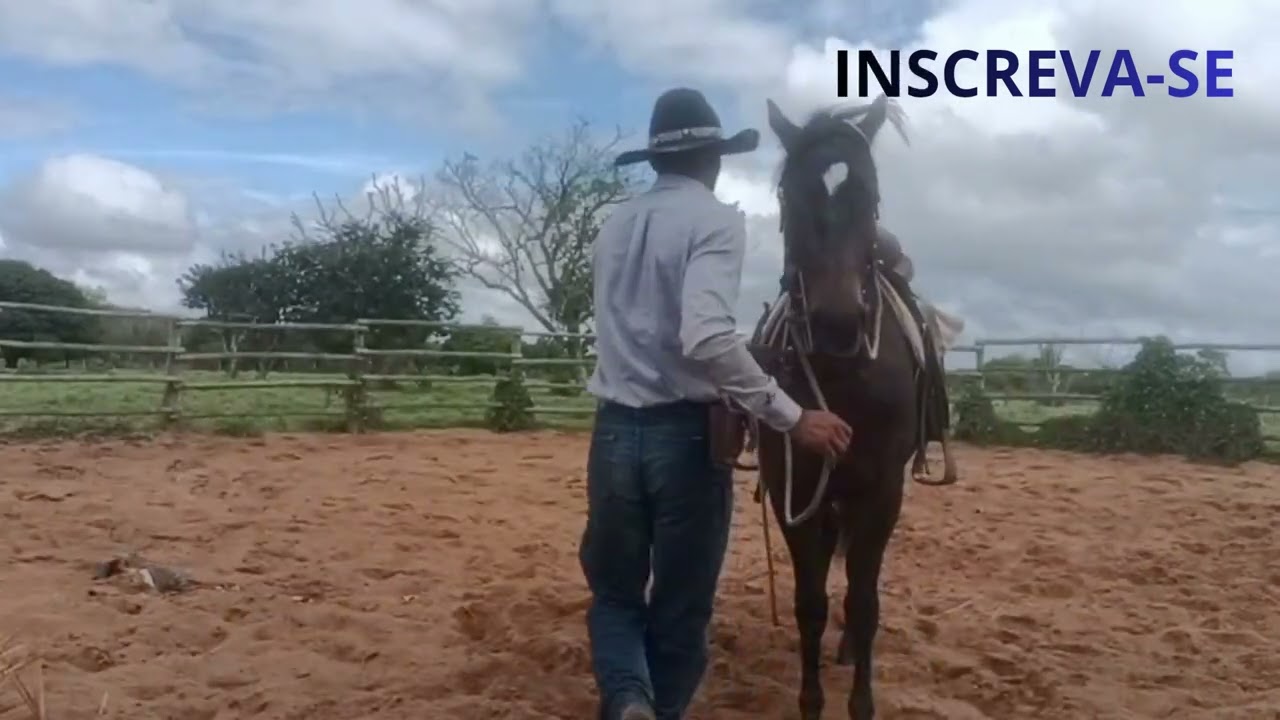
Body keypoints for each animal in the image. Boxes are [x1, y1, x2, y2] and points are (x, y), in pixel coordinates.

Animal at [745, 94, 953, 720]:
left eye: (871, 197)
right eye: (789, 197)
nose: (838, 323)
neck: (842, 376)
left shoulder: (882, 492)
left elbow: (864, 602)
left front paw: (861, 700)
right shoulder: (795, 490)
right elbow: (809, 601)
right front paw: (811, 700)